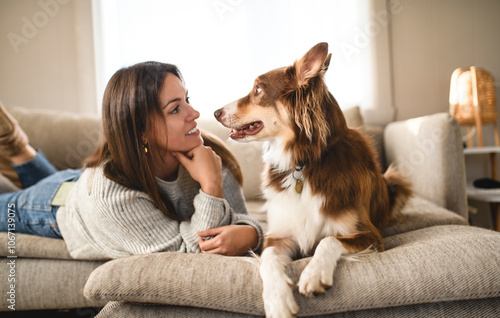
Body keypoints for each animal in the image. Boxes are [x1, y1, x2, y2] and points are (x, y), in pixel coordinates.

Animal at [214, 42, 410, 318]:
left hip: (396, 181)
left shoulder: (371, 235)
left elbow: (328, 240)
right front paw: (278, 301)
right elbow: (267, 261)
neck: (304, 163)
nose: (215, 112)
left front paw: (313, 274)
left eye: (258, 89)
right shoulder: (279, 237)